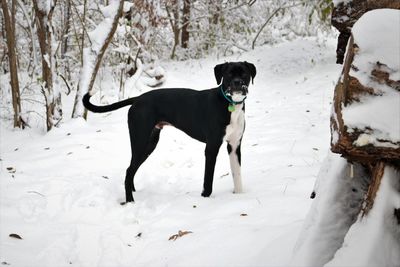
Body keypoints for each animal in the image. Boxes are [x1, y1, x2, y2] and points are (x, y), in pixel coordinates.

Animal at [83, 61, 256, 203]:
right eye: (229, 74)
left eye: (244, 74)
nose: (237, 83)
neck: (229, 104)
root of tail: (138, 98)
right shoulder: (212, 147)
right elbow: (208, 181)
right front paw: (205, 199)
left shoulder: (234, 146)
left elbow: (237, 175)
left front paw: (240, 196)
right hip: (140, 141)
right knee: (129, 171)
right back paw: (130, 201)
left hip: (149, 143)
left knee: (131, 169)